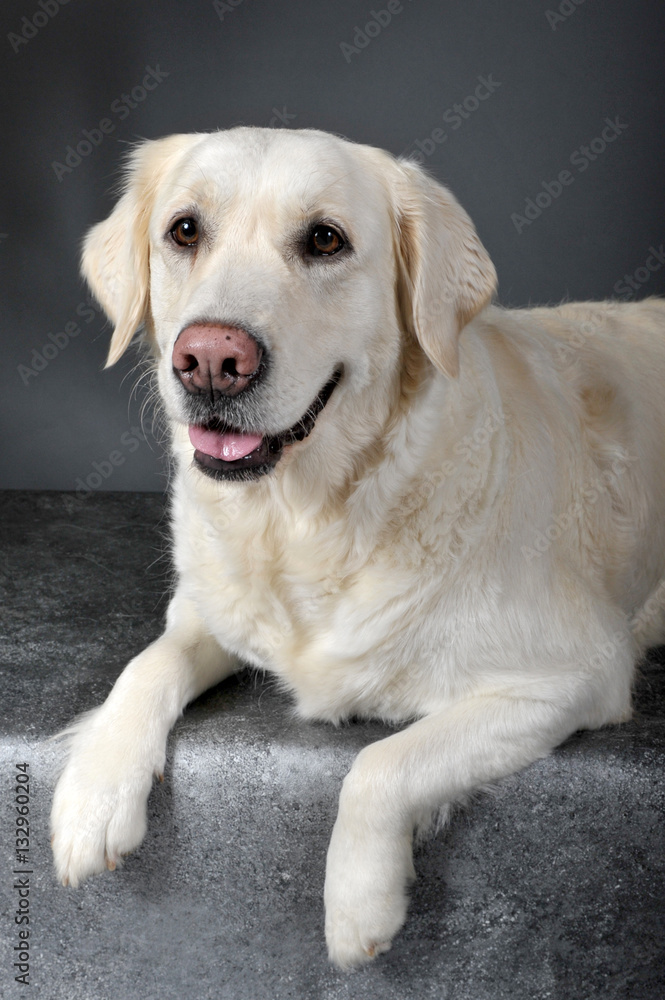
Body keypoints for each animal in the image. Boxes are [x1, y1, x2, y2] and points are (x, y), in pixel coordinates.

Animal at [51, 126, 665, 968]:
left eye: (324, 240)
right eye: (183, 230)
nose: (209, 359)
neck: (308, 520)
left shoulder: (571, 675)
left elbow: (381, 764)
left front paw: (357, 905)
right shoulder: (208, 608)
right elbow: (147, 664)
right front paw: (93, 793)